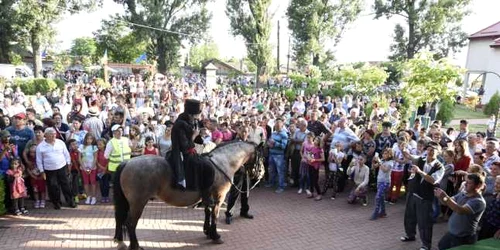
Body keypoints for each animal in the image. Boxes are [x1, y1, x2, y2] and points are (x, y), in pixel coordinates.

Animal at [111, 142, 264, 249]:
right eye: (261, 157)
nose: (261, 174)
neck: (223, 162)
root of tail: (127, 162)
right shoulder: (219, 197)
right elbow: (214, 215)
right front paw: (215, 235)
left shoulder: (208, 197)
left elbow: (207, 212)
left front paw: (207, 231)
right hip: (138, 203)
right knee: (130, 223)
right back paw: (135, 245)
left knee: (121, 219)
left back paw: (121, 241)